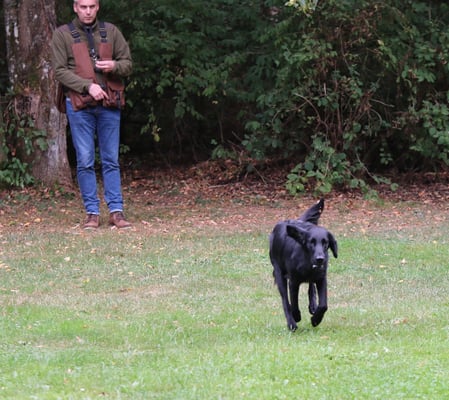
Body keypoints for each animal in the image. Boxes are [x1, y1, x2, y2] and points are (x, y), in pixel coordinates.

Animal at [269, 199, 338, 331]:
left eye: (325, 242)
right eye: (311, 242)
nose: (320, 259)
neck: (307, 262)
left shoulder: (322, 278)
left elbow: (323, 305)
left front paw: (316, 319)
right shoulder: (293, 281)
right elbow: (293, 304)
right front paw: (296, 317)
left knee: (311, 287)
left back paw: (313, 306)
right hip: (279, 272)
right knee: (285, 300)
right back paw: (292, 323)